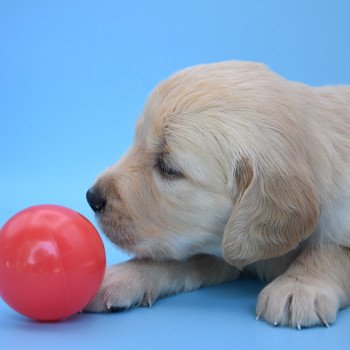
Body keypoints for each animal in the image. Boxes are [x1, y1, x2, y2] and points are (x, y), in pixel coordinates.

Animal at [85, 61, 350, 330]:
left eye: (168, 168)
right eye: (137, 143)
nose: (91, 197)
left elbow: (331, 250)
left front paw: (299, 287)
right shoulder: (225, 244)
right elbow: (178, 258)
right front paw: (121, 275)